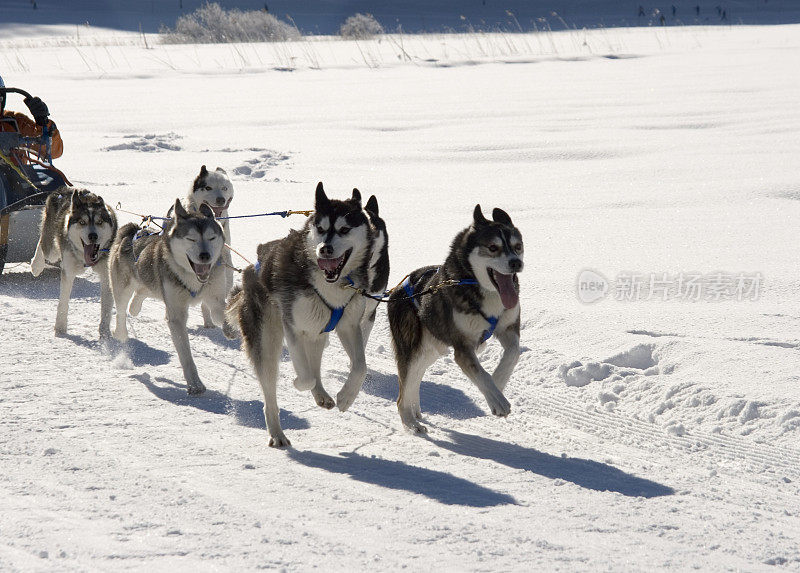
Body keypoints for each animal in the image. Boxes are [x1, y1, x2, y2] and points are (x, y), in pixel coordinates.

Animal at [30, 188, 118, 338]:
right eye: (82, 222)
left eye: (100, 222)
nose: (93, 236)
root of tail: (65, 189)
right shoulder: (68, 271)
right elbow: (63, 302)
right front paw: (60, 328)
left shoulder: (106, 276)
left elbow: (106, 307)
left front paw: (105, 333)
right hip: (52, 250)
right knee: (42, 244)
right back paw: (36, 266)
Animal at [109, 200, 225, 394]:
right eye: (191, 239)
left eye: (211, 238)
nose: (205, 255)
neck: (191, 278)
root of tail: (132, 231)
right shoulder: (176, 315)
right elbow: (185, 355)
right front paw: (195, 384)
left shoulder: (215, 298)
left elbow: (221, 315)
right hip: (122, 287)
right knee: (120, 310)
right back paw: (121, 332)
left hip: (152, 282)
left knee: (141, 292)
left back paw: (135, 307)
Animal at [225, 183, 376, 446]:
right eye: (321, 228)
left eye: (344, 229)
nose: (325, 249)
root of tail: (250, 270)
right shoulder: (292, 326)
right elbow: (305, 378)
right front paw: (297, 382)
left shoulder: (349, 325)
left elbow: (360, 366)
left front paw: (346, 397)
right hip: (268, 340)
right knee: (271, 395)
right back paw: (277, 433)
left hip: (318, 332)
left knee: (315, 363)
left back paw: (322, 395)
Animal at [388, 203, 524, 432]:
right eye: (493, 247)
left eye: (518, 246)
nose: (516, 263)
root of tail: (397, 288)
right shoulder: (463, 347)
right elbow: (481, 373)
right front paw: (497, 400)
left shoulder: (508, 328)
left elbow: (513, 353)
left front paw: (498, 381)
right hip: (411, 350)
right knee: (401, 394)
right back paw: (410, 422)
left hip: (430, 350)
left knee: (415, 381)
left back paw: (415, 412)